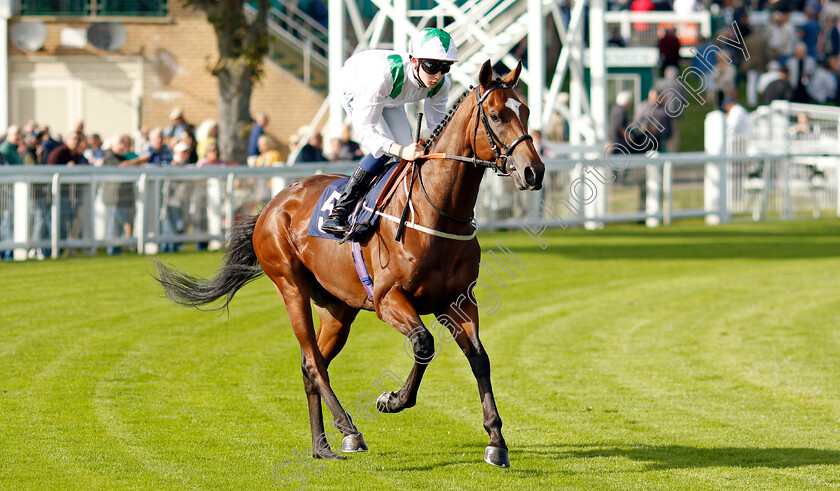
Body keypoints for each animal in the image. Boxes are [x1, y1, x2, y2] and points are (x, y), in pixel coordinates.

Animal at [155, 61, 548, 468]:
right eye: (496, 115)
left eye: (526, 111)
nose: (533, 172)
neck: (435, 213)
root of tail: (272, 205)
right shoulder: (389, 299)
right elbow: (423, 344)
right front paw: (392, 399)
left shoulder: (458, 302)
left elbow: (479, 358)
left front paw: (496, 441)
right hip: (291, 286)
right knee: (313, 363)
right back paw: (350, 430)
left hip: (338, 308)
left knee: (313, 364)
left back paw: (322, 444)